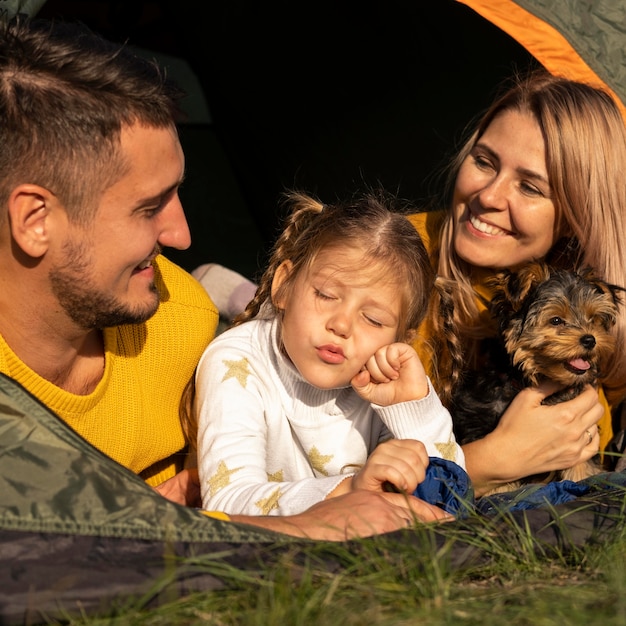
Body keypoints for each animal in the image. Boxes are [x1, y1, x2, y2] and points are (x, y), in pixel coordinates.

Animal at [448, 260, 620, 492]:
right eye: (556, 320)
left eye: (593, 319)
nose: (589, 339)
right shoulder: (478, 421)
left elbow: (580, 463)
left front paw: (580, 479)